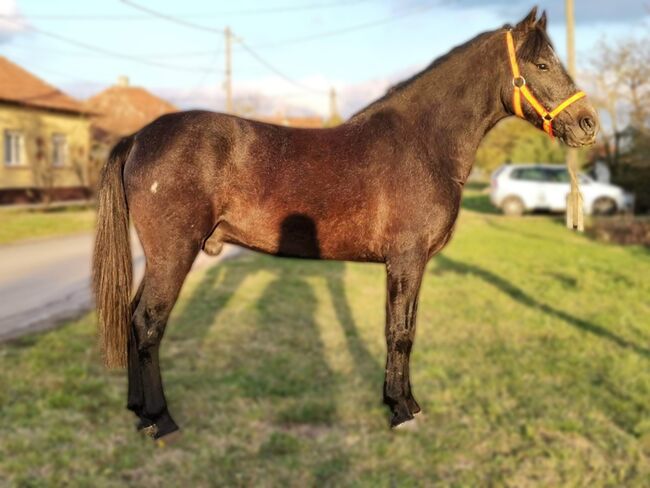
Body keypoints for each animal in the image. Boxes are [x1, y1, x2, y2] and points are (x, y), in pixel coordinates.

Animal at [92, 7, 596, 442]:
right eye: (542, 64)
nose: (588, 123)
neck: (424, 143)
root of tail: (139, 137)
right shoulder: (406, 259)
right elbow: (399, 333)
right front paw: (401, 411)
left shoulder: (412, 265)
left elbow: (406, 330)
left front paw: (405, 402)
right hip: (173, 253)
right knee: (148, 323)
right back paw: (162, 419)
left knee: (132, 317)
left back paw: (139, 413)